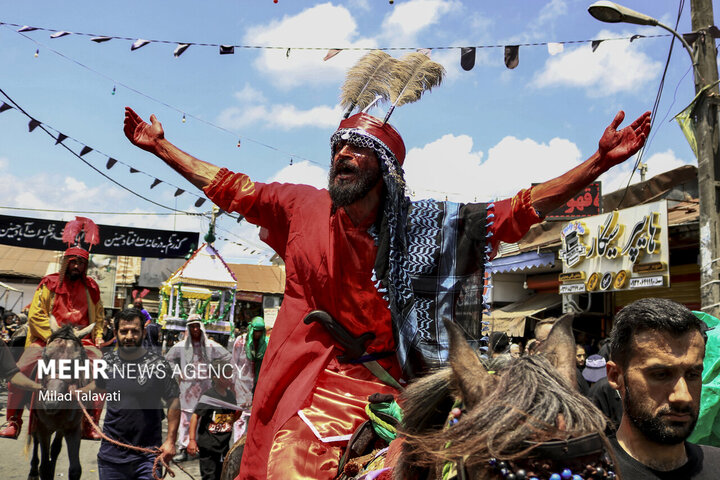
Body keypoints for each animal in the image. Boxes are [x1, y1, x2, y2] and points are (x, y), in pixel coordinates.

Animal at [26, 318, 95, 480]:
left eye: (77, 361)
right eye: (45, 356)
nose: (51, 402)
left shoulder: (72, 428)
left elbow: (75, 469)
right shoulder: (43, 428)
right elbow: (44, 467)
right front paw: (42, 470)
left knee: (55, 448)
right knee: (36, 440)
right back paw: (33, 471)